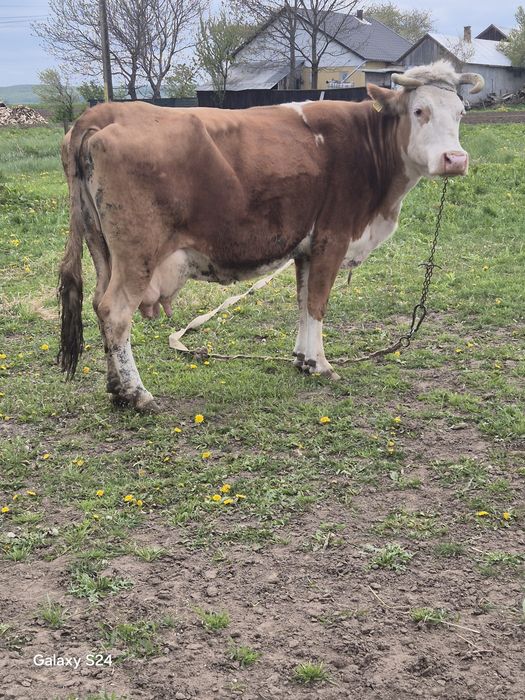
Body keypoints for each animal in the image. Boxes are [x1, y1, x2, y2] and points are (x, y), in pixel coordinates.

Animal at [58, 60, 483, 412]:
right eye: (419, 111)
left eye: (461, 113)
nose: (455, 159)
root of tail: (104, 111)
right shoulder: (332, 238)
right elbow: (318, 304)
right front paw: (321, 365)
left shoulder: (306, 248)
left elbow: (303, 302)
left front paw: (302, 359)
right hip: (137, 253)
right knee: (115, 311)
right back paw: (137, 393)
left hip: (102, 248)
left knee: (97, 303)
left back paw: (116, 388)